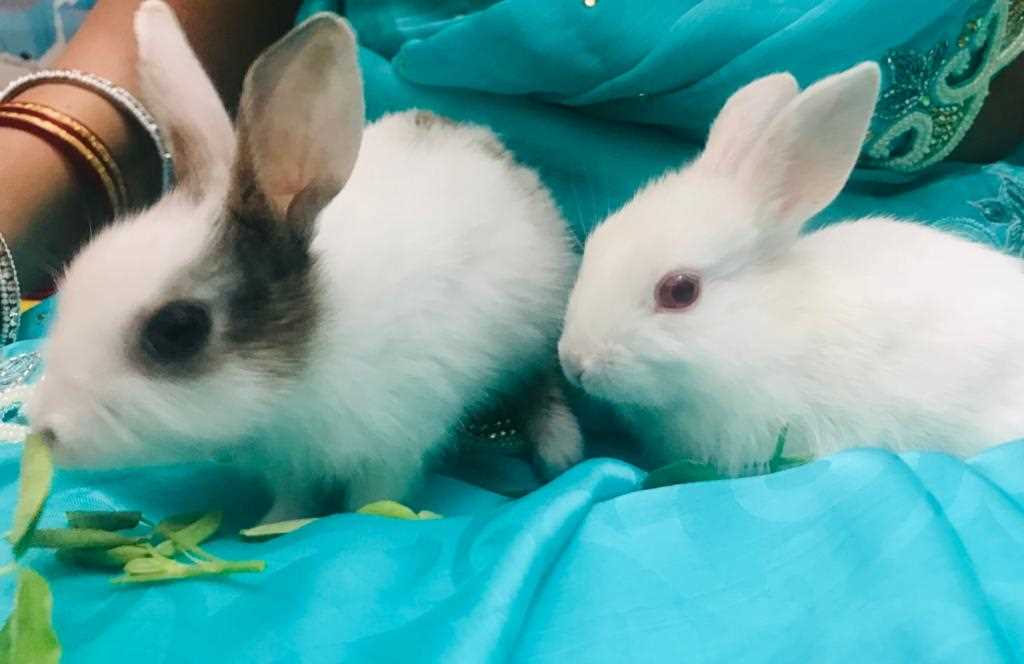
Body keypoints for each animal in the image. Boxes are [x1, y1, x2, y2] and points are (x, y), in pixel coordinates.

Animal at [25, 1, 583, 522]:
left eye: (177, 330)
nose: (48, 431)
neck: (292, 387)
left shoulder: (393, 442)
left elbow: (374, 495)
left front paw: (361, 520)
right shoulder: (288, 464)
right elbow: (293, 496)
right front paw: (276, 524)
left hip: (535, 327)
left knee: (542, 382)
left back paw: (560, 449)